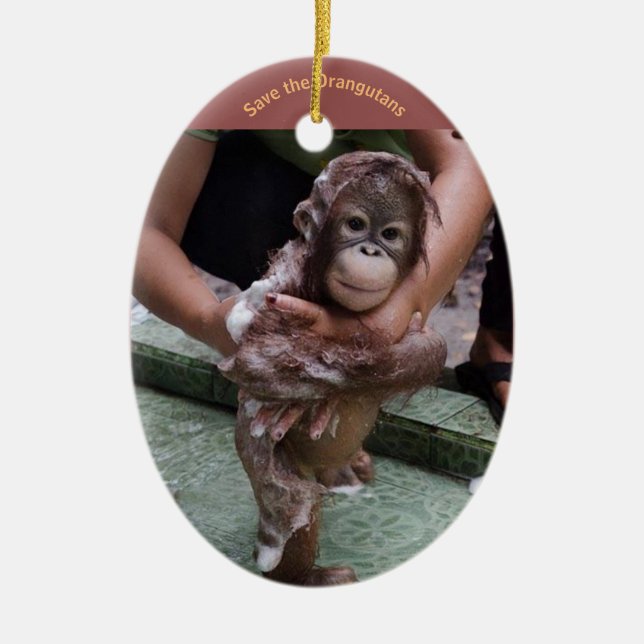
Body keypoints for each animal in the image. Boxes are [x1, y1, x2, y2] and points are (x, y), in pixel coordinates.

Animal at [218, 151, 447, 586]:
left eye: (390, 234)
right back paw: (309, 576)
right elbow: (260, 361)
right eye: (355, 225)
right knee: (295, 510)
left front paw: (426, 345)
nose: (371, 251)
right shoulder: (283, 287)